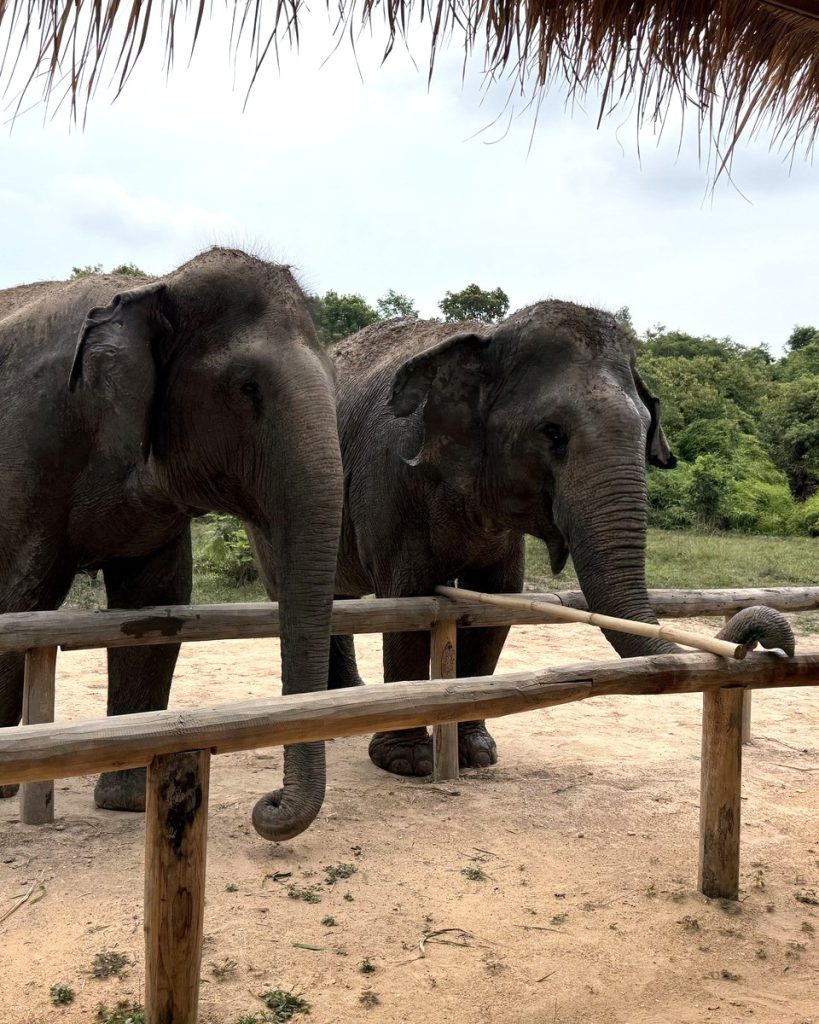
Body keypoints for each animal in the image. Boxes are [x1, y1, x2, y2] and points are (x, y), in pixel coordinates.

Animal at [0, 247, 343, 841]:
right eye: (247, 388)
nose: (269, 804)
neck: (156, 285)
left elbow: (155, 604)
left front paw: (128, 800)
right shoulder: (29, 440)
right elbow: (17, 598)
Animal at [328, 302, 793, 776]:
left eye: (646, 431)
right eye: (552, 431)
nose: (758, 644)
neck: (491, 335)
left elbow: (496, 602)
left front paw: (476, 753)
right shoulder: (388, 482)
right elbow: (406, 604)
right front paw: (407, 762)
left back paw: (346, 696)